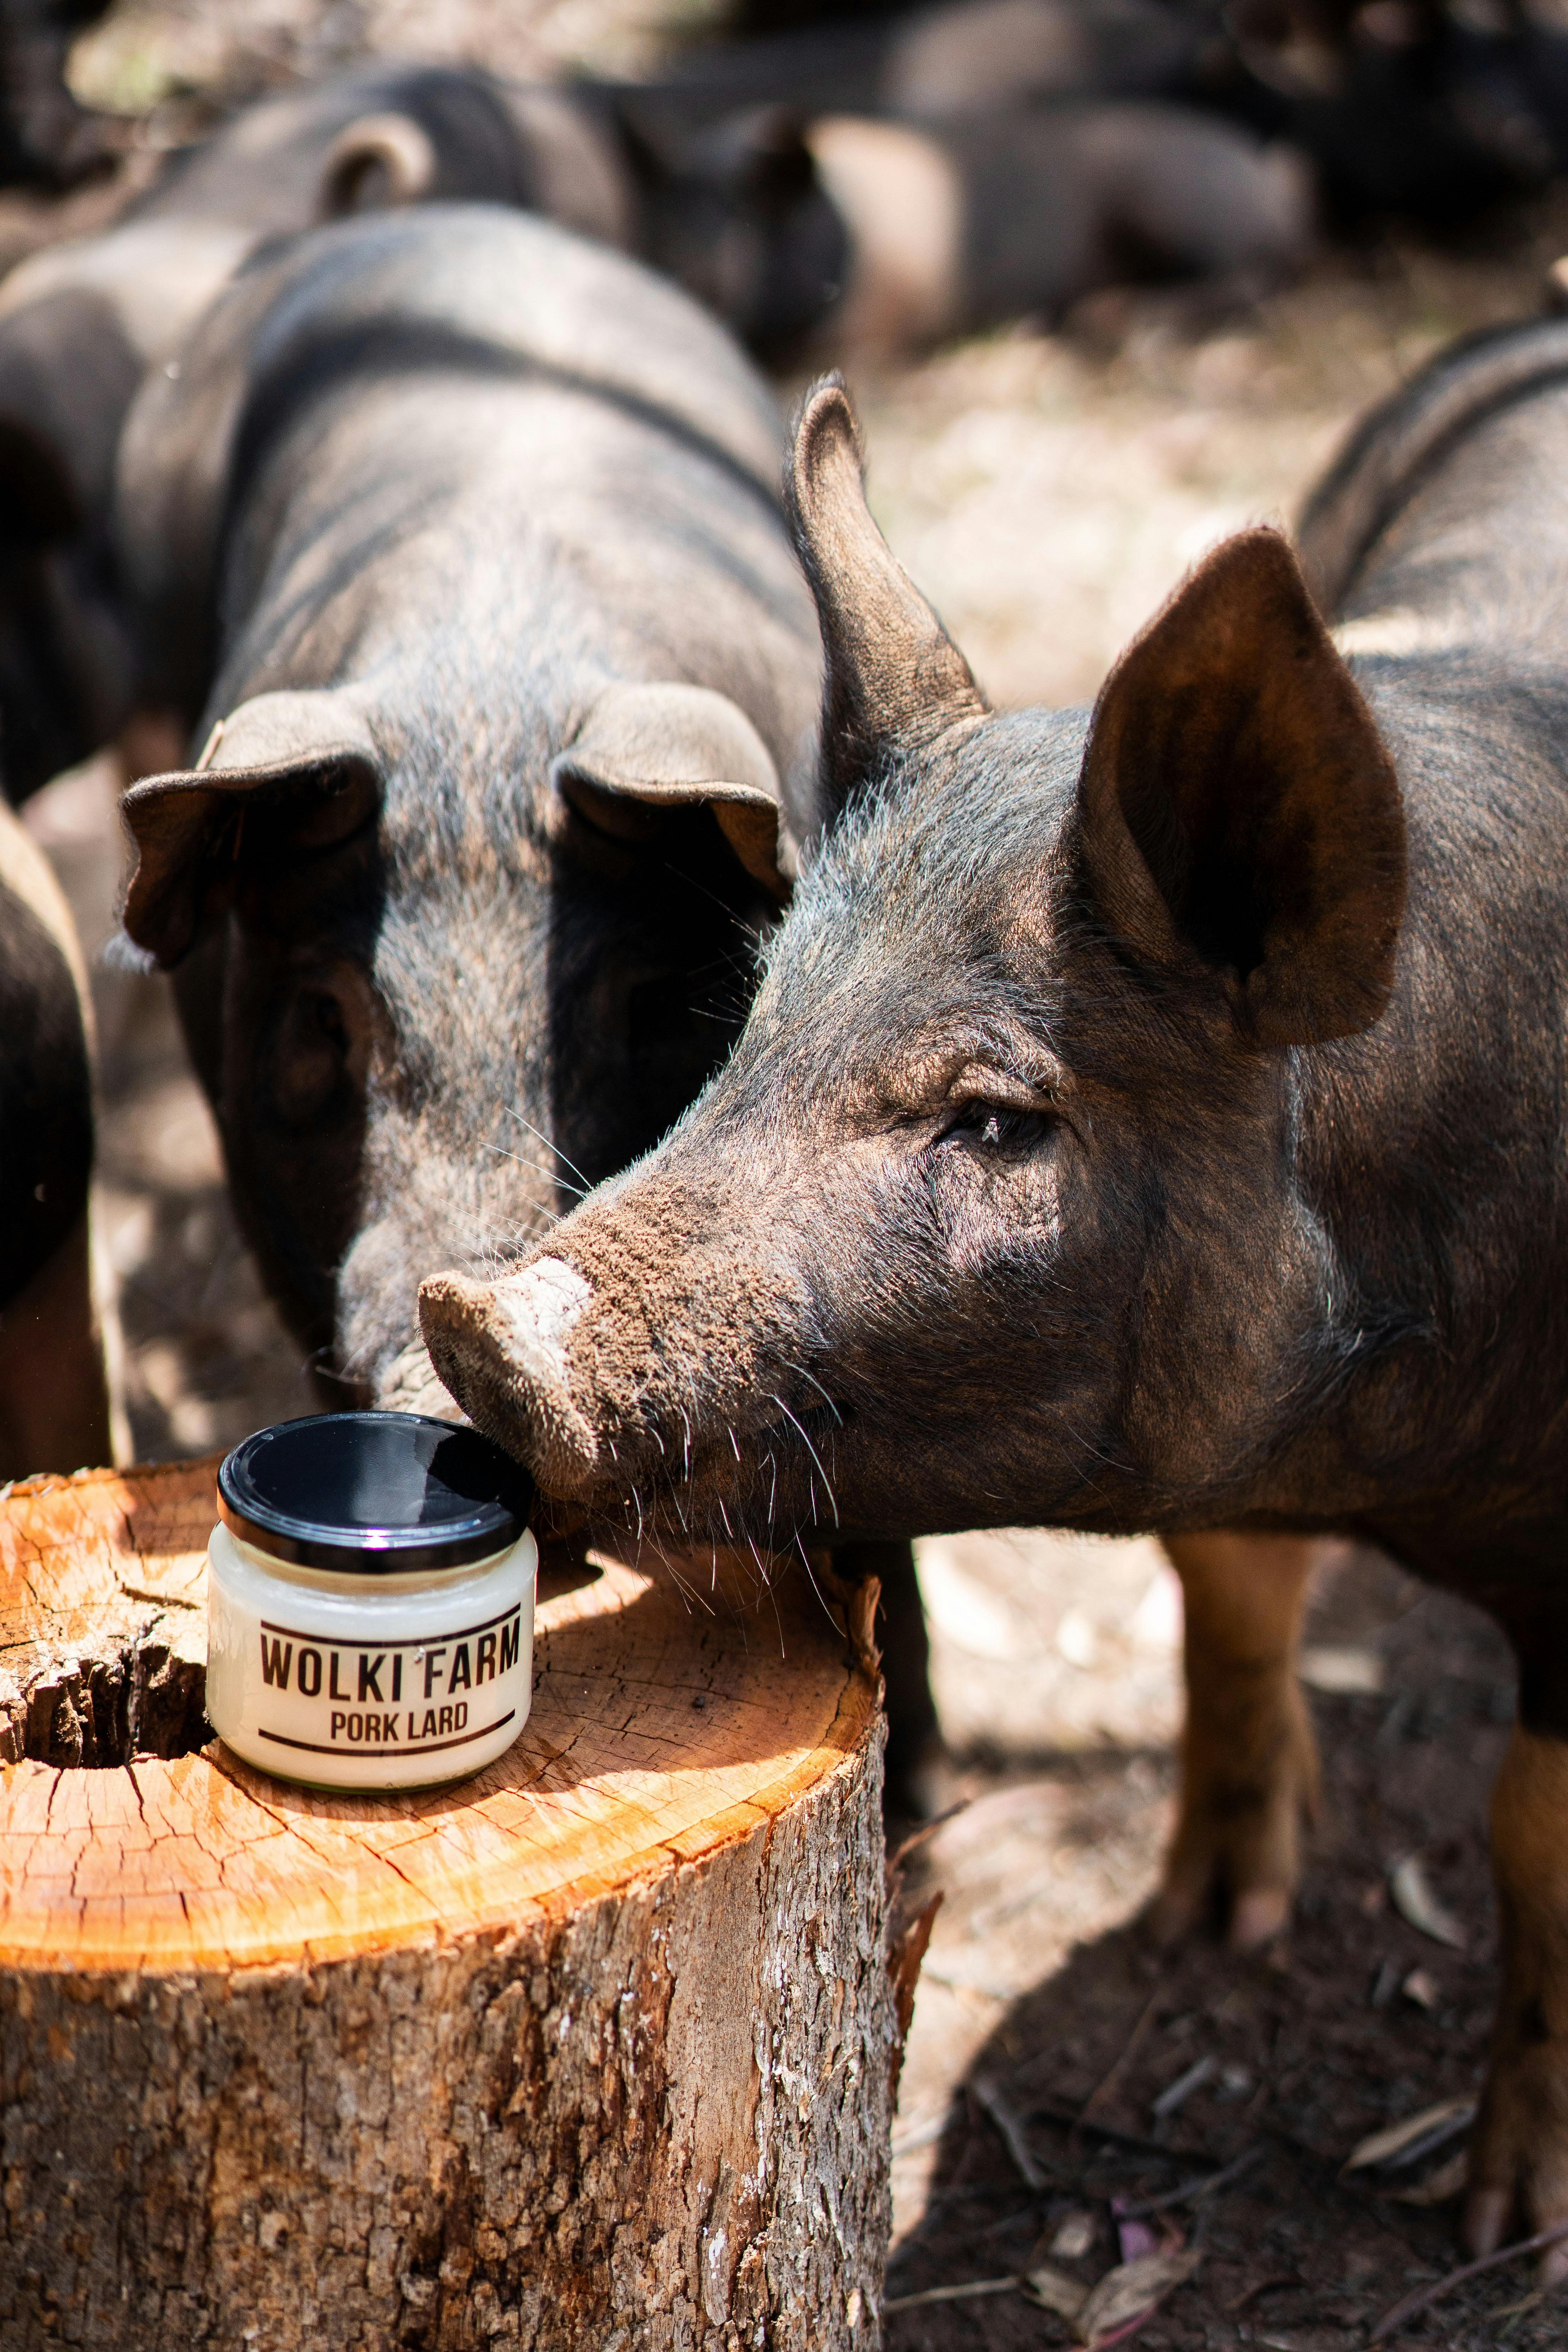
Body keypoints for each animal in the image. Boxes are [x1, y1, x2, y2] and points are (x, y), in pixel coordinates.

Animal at [421, 332, 1568, 2269]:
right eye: (761, 1010)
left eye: (992, 1115)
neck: (1374, 1440)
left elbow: (1531, 1828)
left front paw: (1502, 2224)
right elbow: (1224, 1580)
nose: (483, 1328)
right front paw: (1199, 1922)